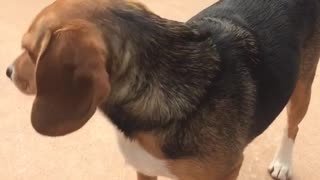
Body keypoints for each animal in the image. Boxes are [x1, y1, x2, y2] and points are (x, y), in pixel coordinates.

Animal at [5, 0, 320, 180]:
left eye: (30, 52)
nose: (7, 72)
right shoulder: (145, 170)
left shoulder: (228, 170)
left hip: (301, 90)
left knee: (292, 126)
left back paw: (283, 162)